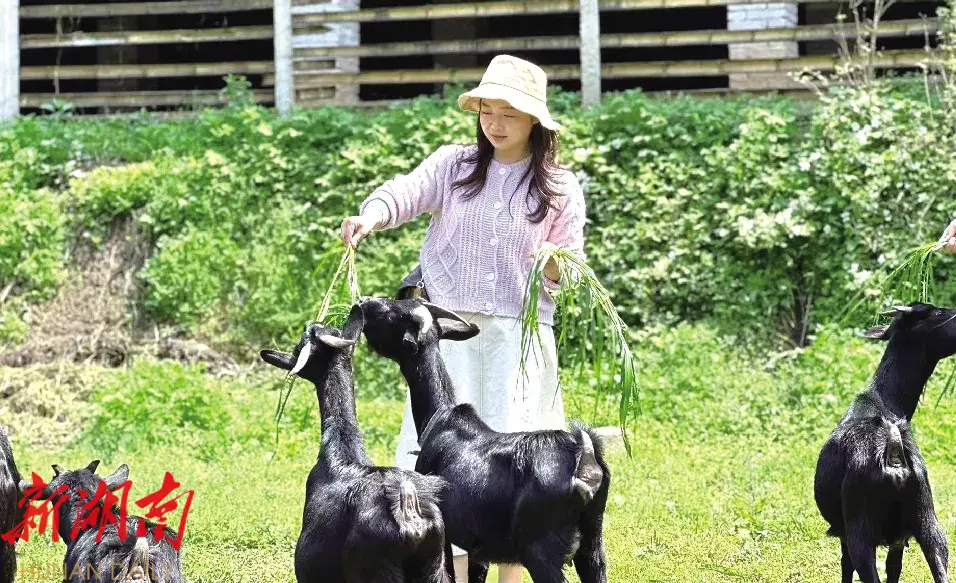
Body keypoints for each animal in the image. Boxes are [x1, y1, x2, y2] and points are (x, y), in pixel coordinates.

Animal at [360, 297, 610, 583]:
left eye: (392, 313)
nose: (364, 302)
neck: (439, 418)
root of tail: (585, 460)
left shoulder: (446, 531)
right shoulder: (478, 545)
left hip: (540, 549)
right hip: (593, 545)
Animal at [814, 302, 956, 583]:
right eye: (937, 313)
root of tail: (893, 453)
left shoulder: (844, 532)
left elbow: (846, 568)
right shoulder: (899, 537)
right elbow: (894, 569)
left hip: (860, 530)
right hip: (928, 521)